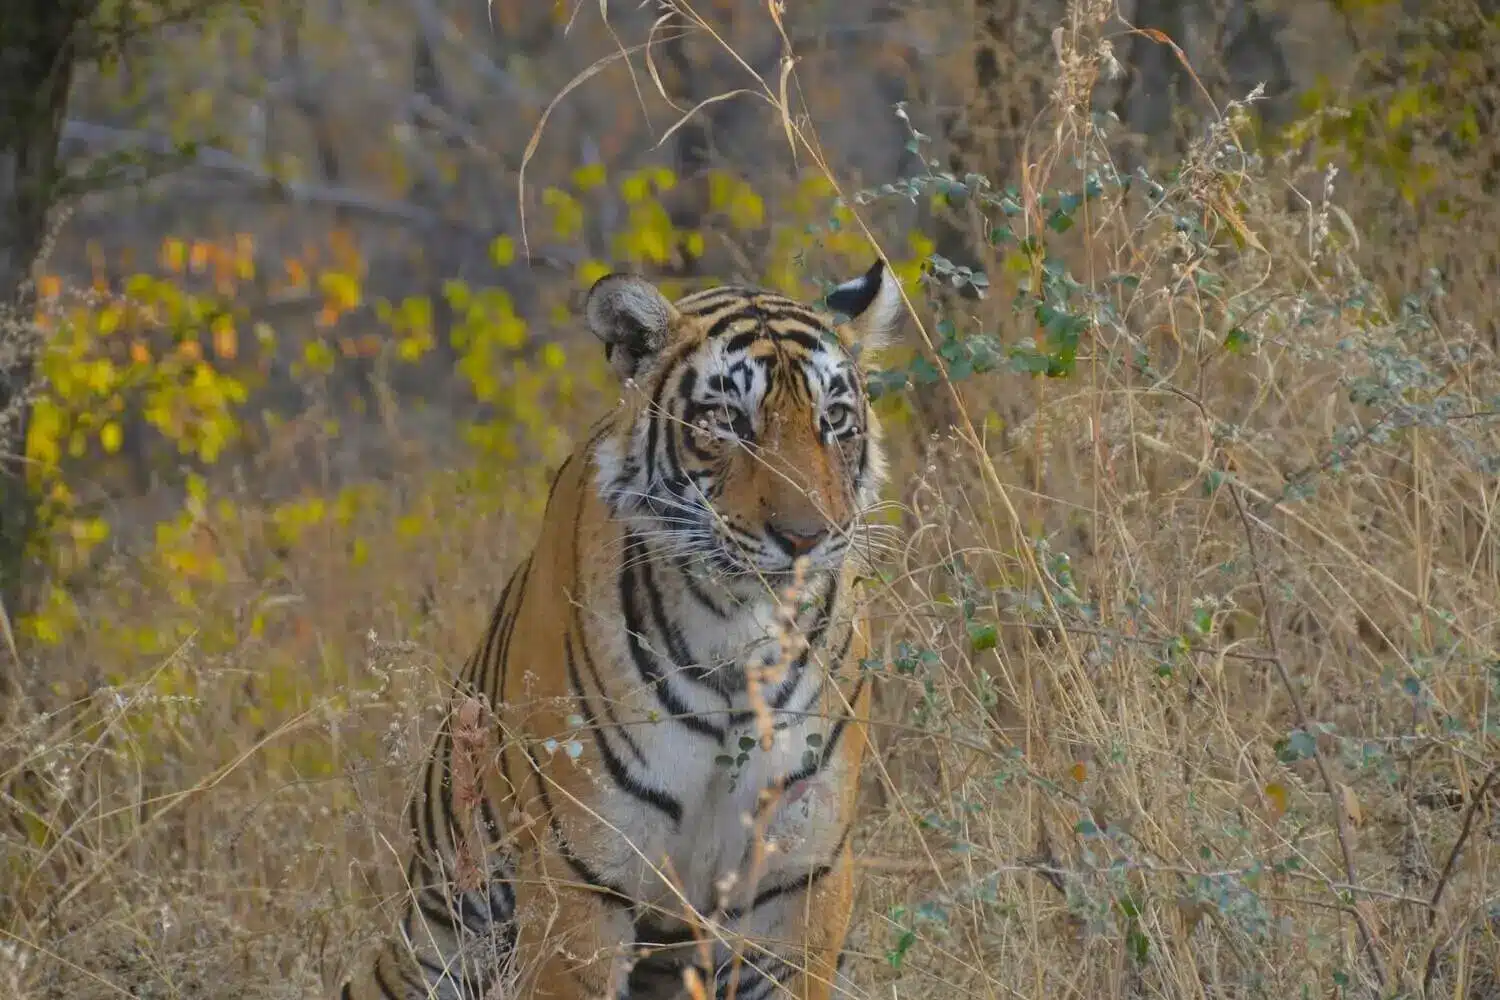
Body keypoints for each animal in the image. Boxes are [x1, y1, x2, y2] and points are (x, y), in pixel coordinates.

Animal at [340, 256, 900, 1000]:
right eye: (729, 421)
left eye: (834, 421)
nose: (806, 537)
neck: (738, 632)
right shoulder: (584, 877)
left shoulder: (801, 872)